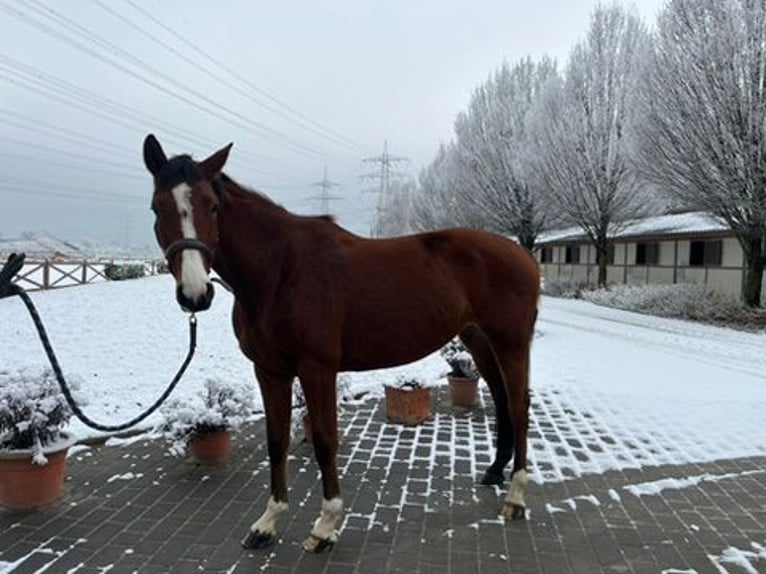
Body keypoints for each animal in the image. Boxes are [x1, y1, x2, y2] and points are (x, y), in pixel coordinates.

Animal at [144, 134, 540, 552]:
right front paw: (268, 522)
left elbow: (324, 440)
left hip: (511, 344)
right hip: (478, 340)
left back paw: (515, 498)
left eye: (212, 206)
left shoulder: (317, 368)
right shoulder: (269, 370)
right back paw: (495, 472)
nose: (195, 294)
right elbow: (276, 439)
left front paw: (325, 525)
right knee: (501, 398)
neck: (281, 271)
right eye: (157, 206)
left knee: (518, 405)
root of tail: (523, 254)